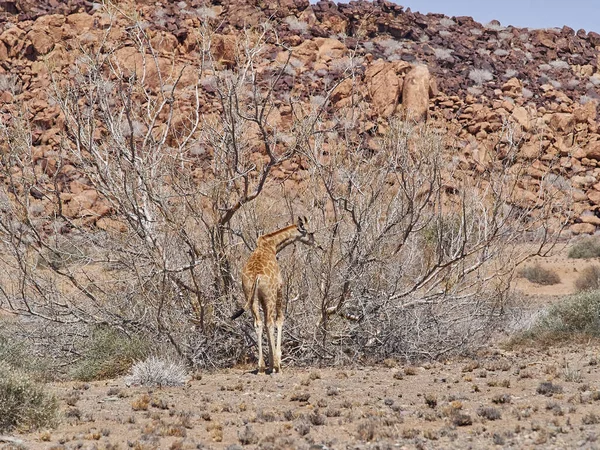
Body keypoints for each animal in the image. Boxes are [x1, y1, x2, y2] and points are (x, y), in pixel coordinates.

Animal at [230, 216, 314, 374]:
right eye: (311, 232)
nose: (315, 243)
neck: (271, 245)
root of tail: (256, 277)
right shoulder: (280, 287)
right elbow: (279, 320)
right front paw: (277, 363)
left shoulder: (260, 298)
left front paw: (270, 363)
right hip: (270, 296)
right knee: (270, 322)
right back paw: (274, 365)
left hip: (251, 297)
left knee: (258, 323)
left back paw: (261, 367)